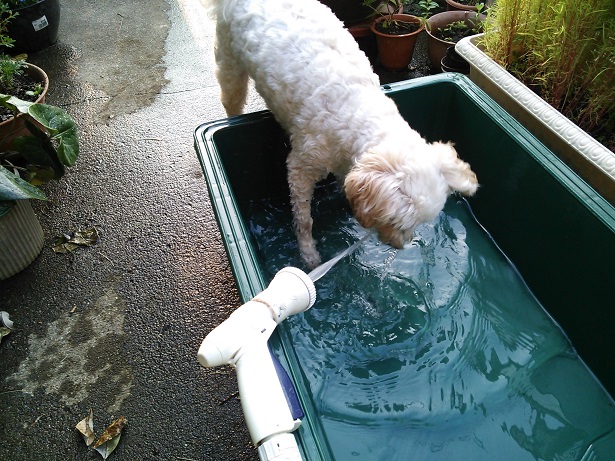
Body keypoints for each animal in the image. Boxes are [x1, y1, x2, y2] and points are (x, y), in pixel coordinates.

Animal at [205, 0, 478, 268]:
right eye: (396, 224)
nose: (400, 246)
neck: (358, 108)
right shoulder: (301, 167)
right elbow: (304, 220)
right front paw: (309, 255)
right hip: (229, 57)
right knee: (231, 95)